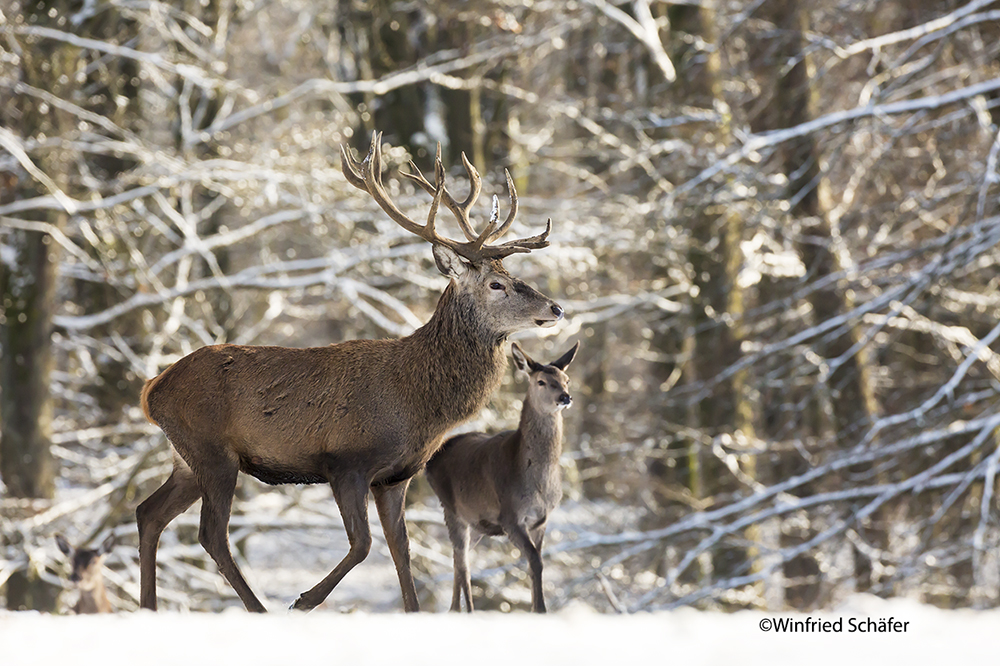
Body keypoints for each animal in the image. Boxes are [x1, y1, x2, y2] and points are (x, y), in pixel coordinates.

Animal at [424, 342, 580, 612]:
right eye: (541, 381)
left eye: (566, 380)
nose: (565, 397)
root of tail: (431, 459)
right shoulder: (510, 516)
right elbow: (536, 561)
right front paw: (540, 610)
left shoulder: (541, 520)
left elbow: (536, 562)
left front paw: (535, 606)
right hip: (450, 507)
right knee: (462, 563)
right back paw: (465, 610)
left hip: (477, 522)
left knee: (458, 560)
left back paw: (455, 608)